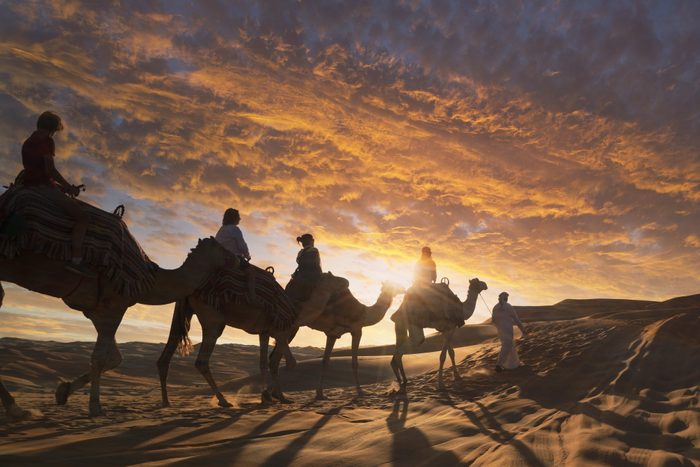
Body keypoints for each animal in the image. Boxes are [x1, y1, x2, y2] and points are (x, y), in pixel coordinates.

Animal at [0, 239, 228, 418]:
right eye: (219, 247)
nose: (237, 259)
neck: (151, 280)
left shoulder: (98, 311)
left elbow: (114, 358)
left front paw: (63, 391)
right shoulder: (114, 304)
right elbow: (101, 357)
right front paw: (95, 407)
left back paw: (16, 408)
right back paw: (15, 408)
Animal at [159, 272, 352, 408]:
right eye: (334, 278)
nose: (347, 281)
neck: (297, 311)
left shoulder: (264, 331)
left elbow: (264, 363)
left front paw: (269, 397)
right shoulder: (279, 331)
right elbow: (285, 362)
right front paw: (275, 396)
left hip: (184, 312)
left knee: (166, 354)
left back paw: (166, 402)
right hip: (213, 319)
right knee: (201, 361)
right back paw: (223, 401)